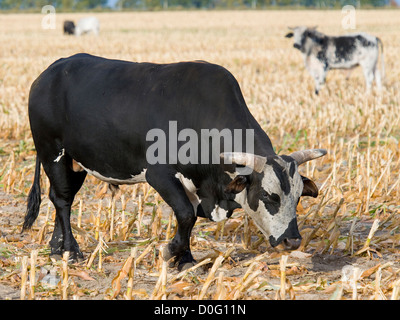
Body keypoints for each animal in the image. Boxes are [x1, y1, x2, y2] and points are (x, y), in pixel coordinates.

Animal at [23, 53, 326, 268]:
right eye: (267, 195)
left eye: (298, 196)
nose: (292, 240)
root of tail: (49, 72)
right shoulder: (159, 175)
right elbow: (185, 214)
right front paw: (170, 251)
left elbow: (188, 219)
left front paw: (186, 259)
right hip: (53, 153)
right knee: (62, 200)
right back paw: (71, 251)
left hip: (76, 163)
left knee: (60, 198)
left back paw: (56, 247)